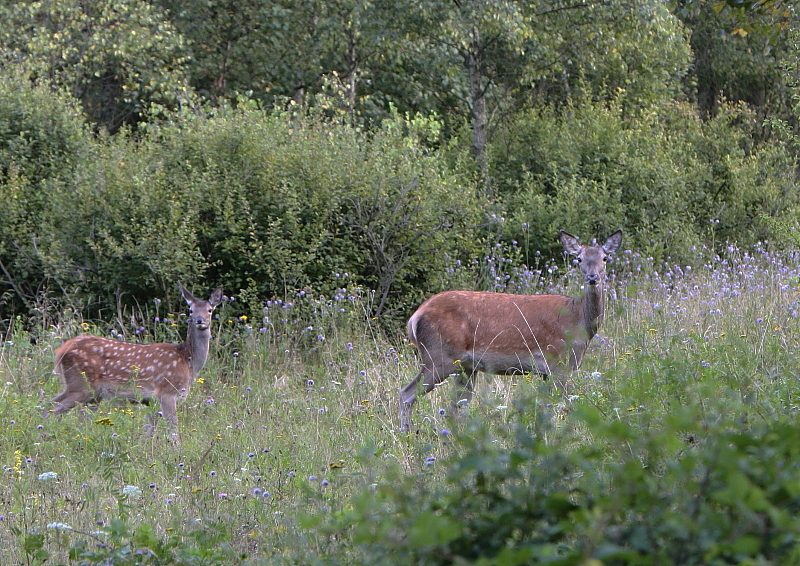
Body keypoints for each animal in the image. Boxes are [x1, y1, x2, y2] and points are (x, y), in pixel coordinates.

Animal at [45, 284, 223, 444]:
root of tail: (61, 350)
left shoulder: (150, 401)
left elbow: (148, 433)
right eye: (190, 310)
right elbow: (173, 433)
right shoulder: (168, 392)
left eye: (210, 310)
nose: (199, 320)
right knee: (51, 406)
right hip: (81, 384)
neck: (187, 361)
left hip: (91, 394)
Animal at [404, 231, 620, 434]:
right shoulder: (558, 362)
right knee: (407, 394)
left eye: (605, 258)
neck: (577, 321)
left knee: (457, 408)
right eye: (579, 259)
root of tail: (415, 316)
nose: (592, 278)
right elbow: (565, 407)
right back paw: (406, 435)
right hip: (440, 355)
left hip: (464, 366)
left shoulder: (548, 371)